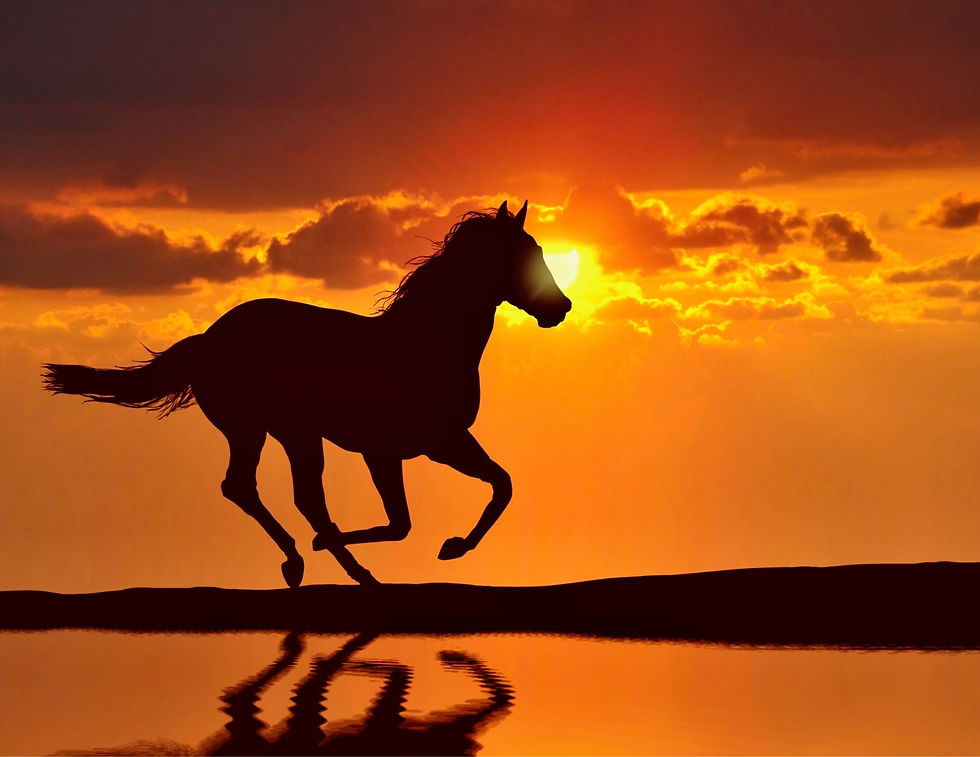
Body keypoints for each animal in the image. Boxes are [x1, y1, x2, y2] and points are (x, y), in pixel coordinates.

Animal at [41, 200, 572, 587]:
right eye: (526, 256)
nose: (562, 308)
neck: (426, 343)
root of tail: (208, 339)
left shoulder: (444, 441)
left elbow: (501, 484)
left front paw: (455, 546)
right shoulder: (386, 450)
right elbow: (401, 523)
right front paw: (438, 546)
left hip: (276, 433)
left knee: (263, 491)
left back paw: (312, 562)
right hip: (277, 430)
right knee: (277, 493)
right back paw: (325, 564)